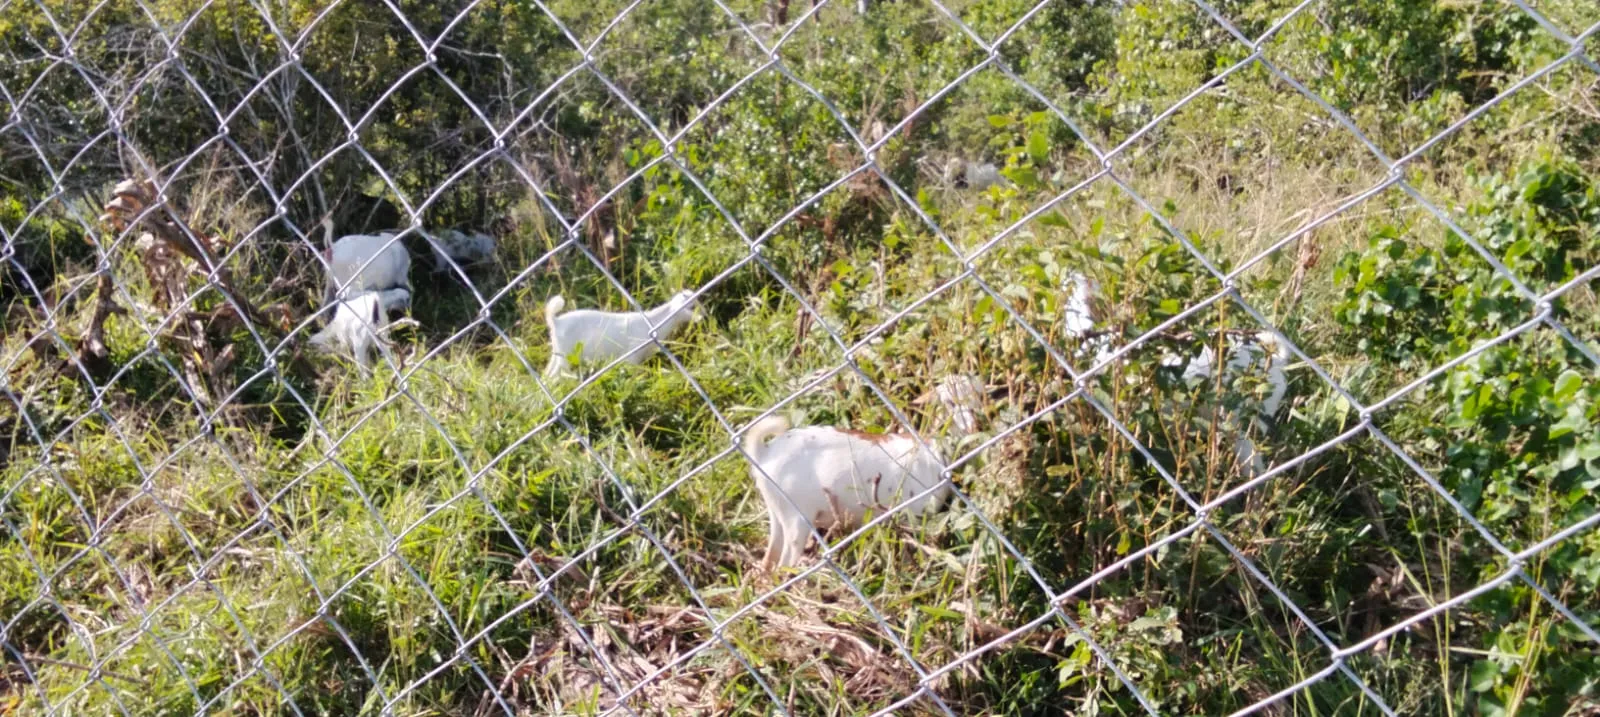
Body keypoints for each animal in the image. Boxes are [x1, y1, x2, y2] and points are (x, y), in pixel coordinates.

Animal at [542, 289, 700, 378]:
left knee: (548, 375)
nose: (703, 315)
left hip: (557, 353)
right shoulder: (633, 355)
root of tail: (556, 321)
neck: (654, 323)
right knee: (557, 375)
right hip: (566, 356)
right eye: (693, 306)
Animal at [740, 375, 986, 571]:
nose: (974, 425)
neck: (932, 451)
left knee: (770, 559)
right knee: (785, 562)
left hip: (777, 511)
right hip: (797, 518)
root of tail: (764, 452)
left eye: (980, 396)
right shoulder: (914, 518)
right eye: (950, 402)